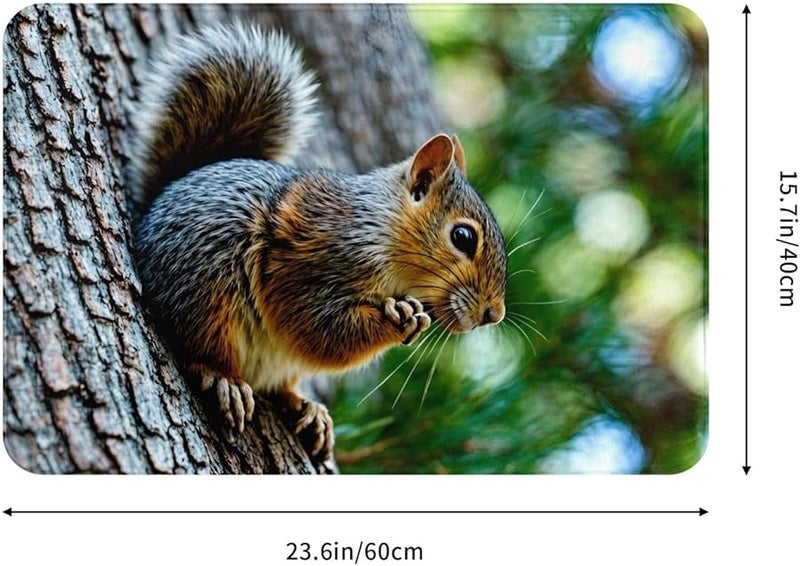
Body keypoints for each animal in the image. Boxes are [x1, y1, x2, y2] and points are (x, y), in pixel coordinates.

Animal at [130, 23, 507, 468]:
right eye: (463, 237)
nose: (494, 314)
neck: (378, 228)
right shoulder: (314, 263)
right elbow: (317, 325)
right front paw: (402, 317)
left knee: (280, 383)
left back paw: (308, 409)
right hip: (203, 278)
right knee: (199, 342)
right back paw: (224, 379)